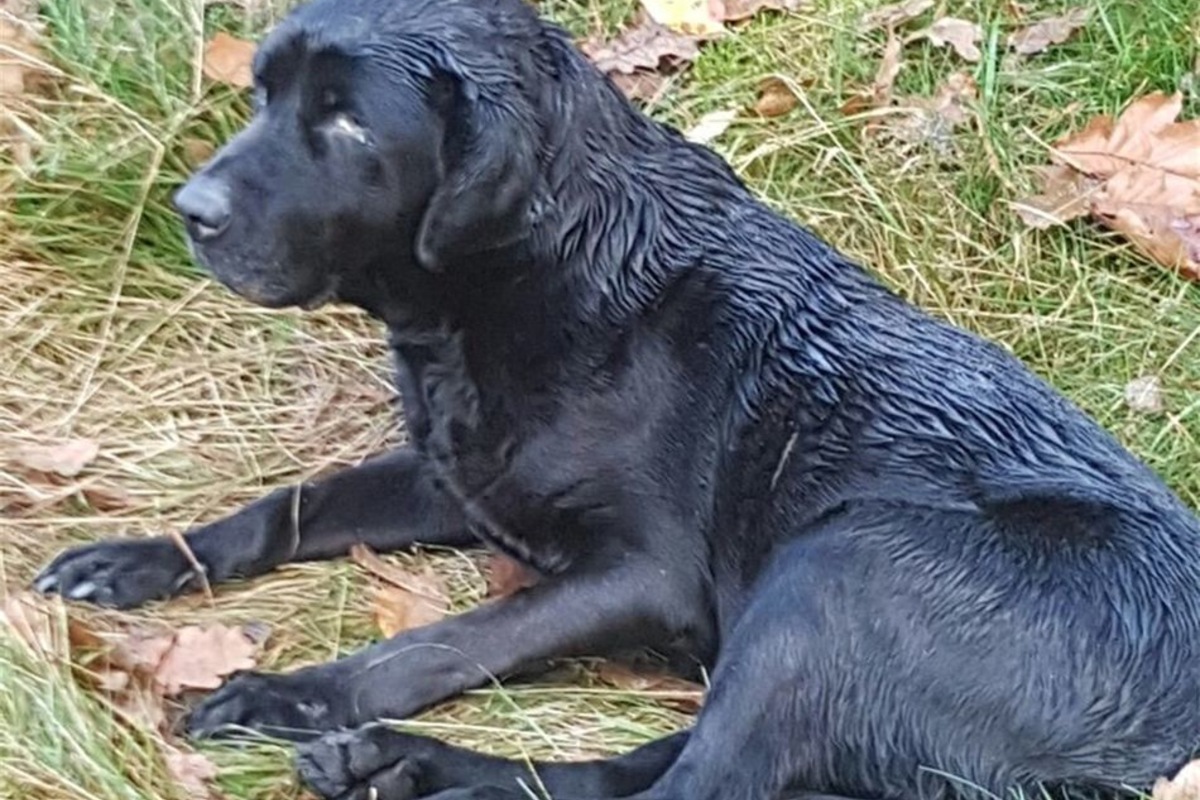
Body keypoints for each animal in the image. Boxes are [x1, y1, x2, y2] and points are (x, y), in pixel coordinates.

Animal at [32, 1, 1200, 800]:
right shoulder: (458, 473)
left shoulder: (644, 575)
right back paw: (400, 766)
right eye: (262, 93)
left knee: (693, 788)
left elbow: (447, 639)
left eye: (349, 124)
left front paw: (291, 694)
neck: (537, 275)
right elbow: (293, 501)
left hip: (838, 568)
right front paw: (137, 558)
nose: (190, 209)